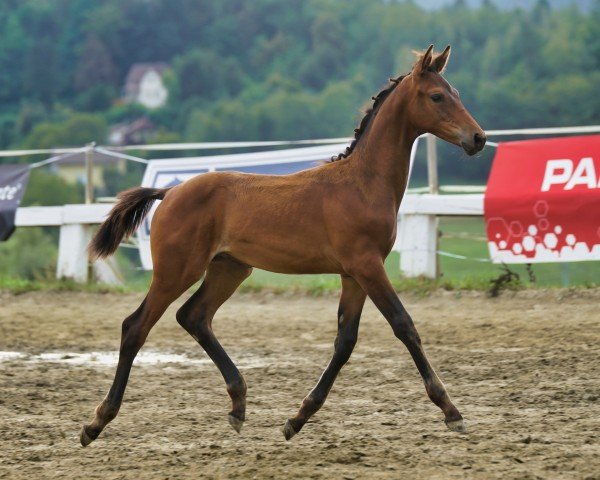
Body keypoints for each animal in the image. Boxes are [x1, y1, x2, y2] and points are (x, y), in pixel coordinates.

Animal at [79, 46, 486, 446]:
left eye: (457, 93)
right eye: (436, 96)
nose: (478, 138)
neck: (363, 182)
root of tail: (170, 192)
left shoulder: (353, 274)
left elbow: (345, 341)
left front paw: (297, 418)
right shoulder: (368, 265)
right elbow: (404, 325)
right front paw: (452, 411)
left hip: (230, 268)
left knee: (193, 316)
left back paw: (238, 404)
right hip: (177, 270)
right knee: (136, 326)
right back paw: (97, 422)